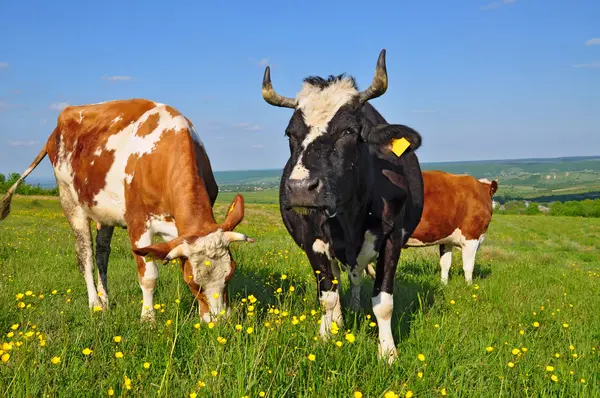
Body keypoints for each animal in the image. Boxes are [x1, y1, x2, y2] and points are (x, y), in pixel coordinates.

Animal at [0, 98, 253, 322]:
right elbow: (148, 276)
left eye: (230, 274)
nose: (219, 321)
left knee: (102, 254)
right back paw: (95, 305)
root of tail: (58, 126)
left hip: (104, 213)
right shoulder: (138, 223)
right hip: (70, 200)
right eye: (192, 281)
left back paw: (105, 300)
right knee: (85, 254)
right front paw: (148, 320)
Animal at [262, 50, 426, 364]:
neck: (350, 216)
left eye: (349, 130)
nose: (300, 188)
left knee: (356, 276)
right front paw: (327, 335)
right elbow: (327, 295)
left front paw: (388, 352)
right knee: (337, 280)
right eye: (290, 133)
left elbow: (383, 302)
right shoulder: (312, 240)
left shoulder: (393, 238)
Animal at [368, 169, 500, 284]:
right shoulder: (471, 237)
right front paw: (469, 286)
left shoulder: (447, 240)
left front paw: (444, 284)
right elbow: (468, 266)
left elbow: (445, 263)